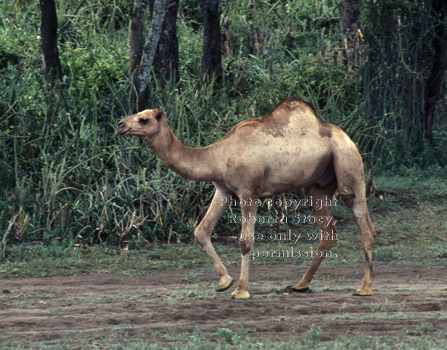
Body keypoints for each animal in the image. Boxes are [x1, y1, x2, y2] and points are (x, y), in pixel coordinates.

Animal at [117, 97, 376, 300]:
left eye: (144, 119)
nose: (120, 125)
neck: (217, 157)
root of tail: (347, 138)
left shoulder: (249, 191)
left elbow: (245, 240)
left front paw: (241, 290)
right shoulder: (223, 190)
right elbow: (201, 230)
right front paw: (224, 281)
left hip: (348, 164)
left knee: (364, 224)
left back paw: (364, 288)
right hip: (316, 187)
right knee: (328, 232)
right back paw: (301, 285)